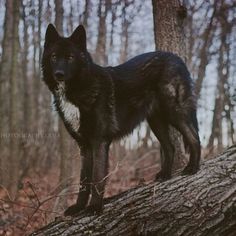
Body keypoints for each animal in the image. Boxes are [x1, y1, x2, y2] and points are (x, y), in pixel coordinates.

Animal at [42, 24, 201, 216]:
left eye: (70, 58)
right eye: (54, 57)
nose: (59, 74)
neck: (79, 89)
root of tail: (177, 58)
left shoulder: (99, 141)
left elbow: (97, 178)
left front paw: (94, 207)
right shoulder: (84, 146)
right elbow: (84, 181)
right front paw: (78, 207)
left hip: (174, 111)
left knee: (194, 138)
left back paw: (193, 168)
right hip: (156, 122)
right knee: (170, 147)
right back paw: (164, 175)